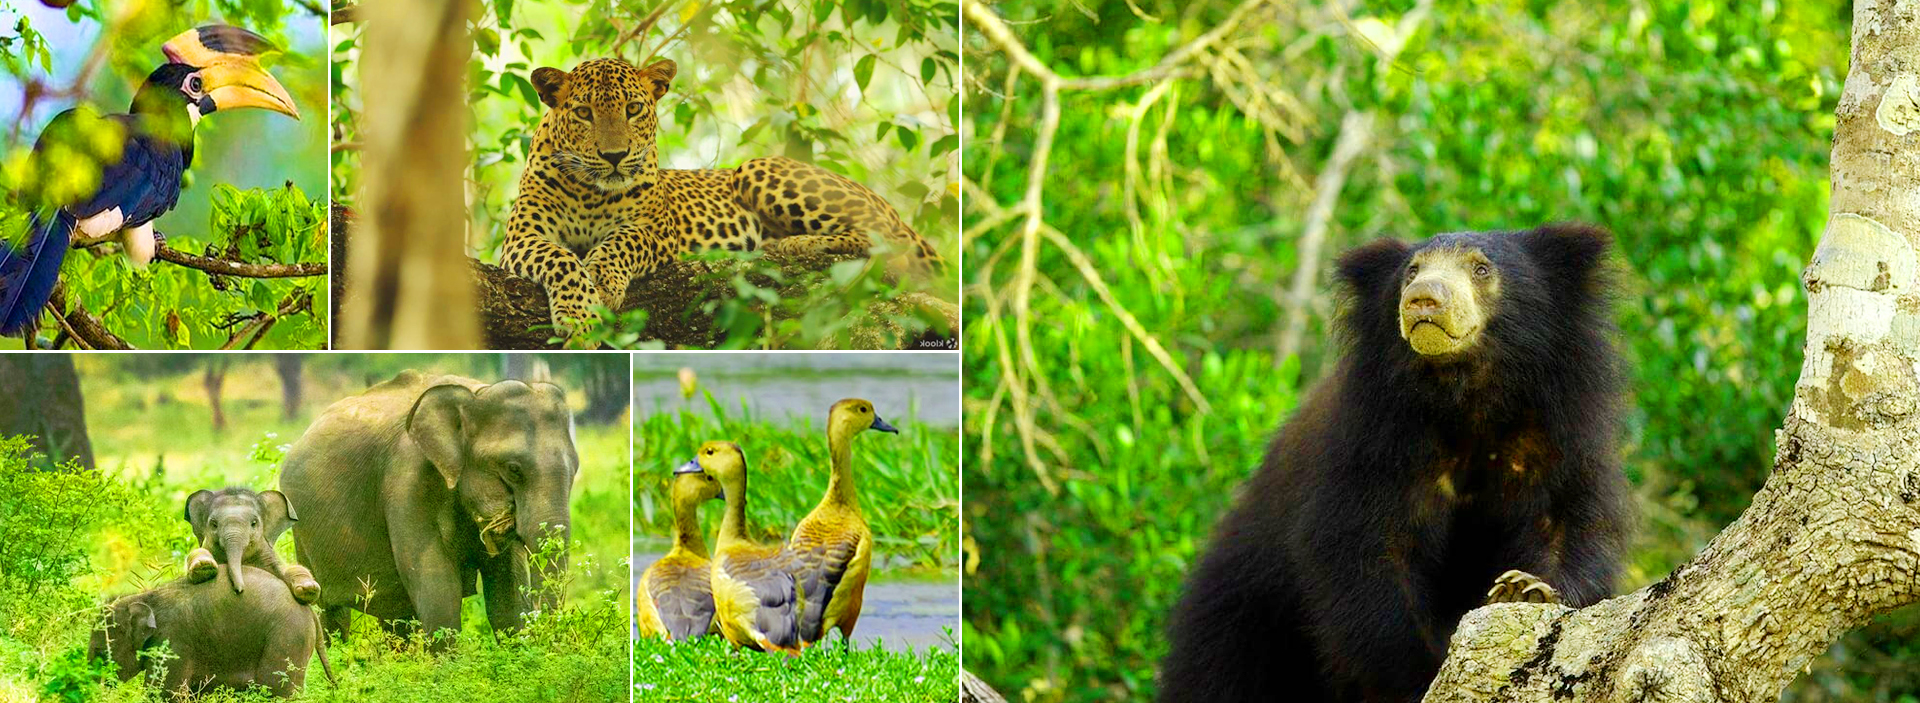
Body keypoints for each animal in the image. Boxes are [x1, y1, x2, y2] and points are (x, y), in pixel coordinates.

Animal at [89, 564, 326, 699]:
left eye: (101, 653)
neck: (146, 596)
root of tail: (310, 611)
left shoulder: (173, 641)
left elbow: (163, 692)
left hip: (287, 637)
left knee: (277, 690)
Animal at [183, 487, 318, 603]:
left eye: (254, 523)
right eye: (214, 524)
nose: (239, 590)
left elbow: (289, 569)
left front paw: (308, 588)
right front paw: (204, 566)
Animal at [280, 370, 576, 645]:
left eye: (575, 469)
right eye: (513, 469)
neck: (476, 395)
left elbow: (508, 596)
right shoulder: (407, 480)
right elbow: (437, 589)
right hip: (302, 531)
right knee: (331, 612)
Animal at [499, 57, 940, 338]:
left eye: (634, 108)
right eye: (583, 113)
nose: (614, 156)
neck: (591, 191)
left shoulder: (657, 231)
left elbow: (621, 241)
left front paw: (604, 282)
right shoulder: (521, 238)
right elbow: (561, 259)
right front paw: (578, 312)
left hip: (756, 169)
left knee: (890, 244)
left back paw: (799, 244)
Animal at [1159, 224, 1628, 703]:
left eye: (1481, 269)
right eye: (1411, 272)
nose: (1423, 299)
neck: (1465, 395)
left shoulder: (1557, 432)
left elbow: (1567, 524)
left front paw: (1526, 589)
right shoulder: (1379, 444)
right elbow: (1366, 557)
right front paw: (1423, 675)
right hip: (1241, 617)